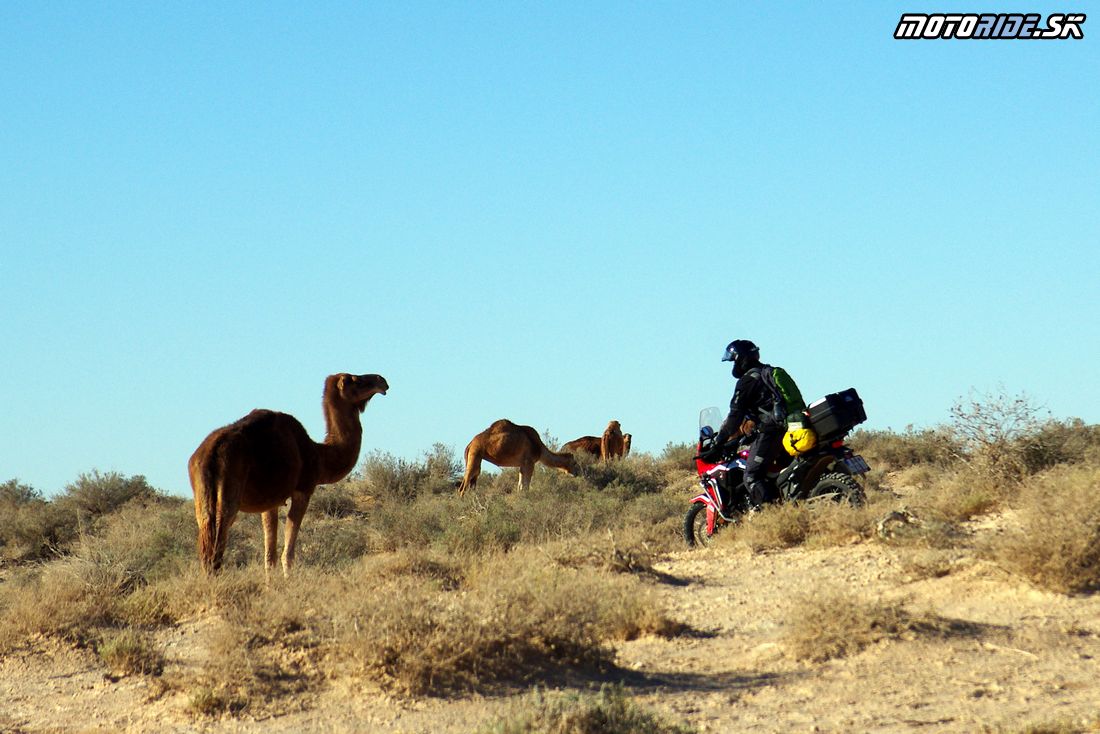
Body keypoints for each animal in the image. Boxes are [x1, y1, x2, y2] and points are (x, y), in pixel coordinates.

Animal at [190, 376, 391, 576]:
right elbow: (288, 554)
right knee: (216, 546)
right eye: (356, 380)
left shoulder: (270, 502)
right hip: (229, 496)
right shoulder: (303, 490)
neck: (319, 454)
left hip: (202, 499)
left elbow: (269, 556)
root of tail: (209, 455)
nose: (382, 381)